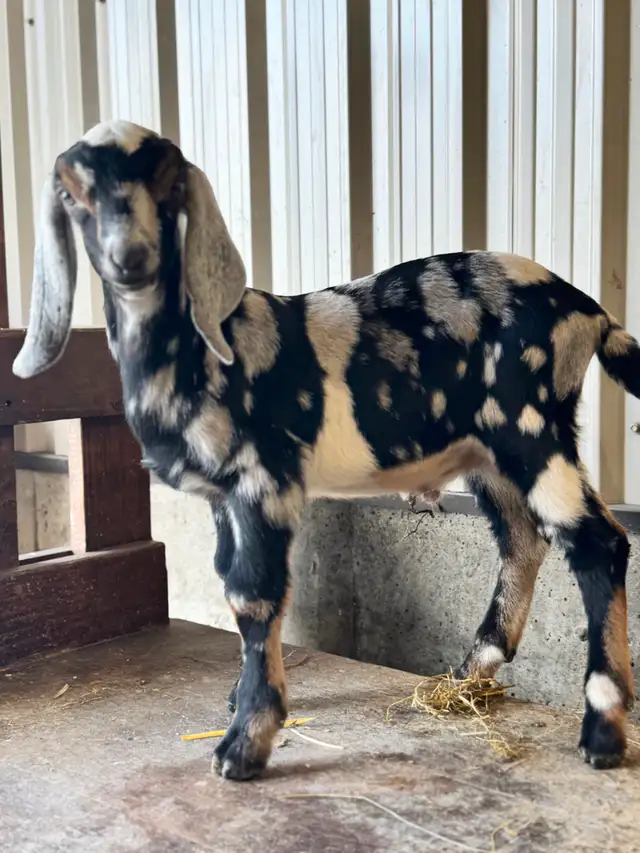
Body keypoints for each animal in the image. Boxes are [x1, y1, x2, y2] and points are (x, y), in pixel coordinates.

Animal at [13, 119, 640, 780]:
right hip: (490, 453)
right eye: (73, 192)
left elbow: (254, 593)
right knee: (523, 542)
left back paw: (602, 731)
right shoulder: (223, 497)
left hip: (531, 428)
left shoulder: (264, 481)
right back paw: (468, 673)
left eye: (166, 178)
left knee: (598, 543)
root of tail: (591, 312)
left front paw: (246, 742)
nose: (129, 258)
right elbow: (230, 582)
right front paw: (241, 699)